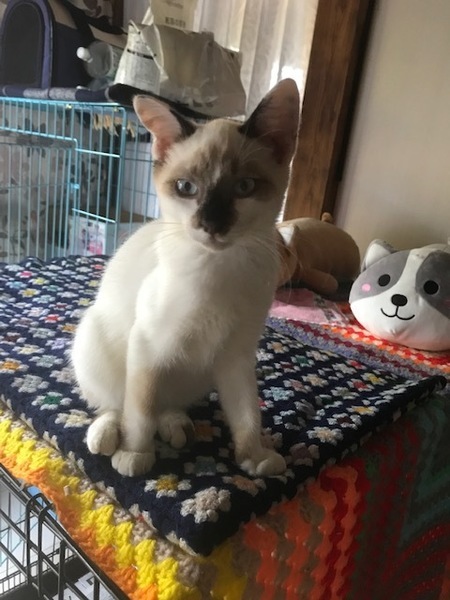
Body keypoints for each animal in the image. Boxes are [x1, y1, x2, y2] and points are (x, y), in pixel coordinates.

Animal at [71, 79, 299, 478]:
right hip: (95, 341)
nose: (211, 225)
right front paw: (135, 455)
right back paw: (108, 436)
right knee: (116, 403)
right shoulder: (147, 348)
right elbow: (139, 410)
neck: (220, 269)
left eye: (245, 187)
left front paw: (254, 457)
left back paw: (177, 427)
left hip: (199, 374)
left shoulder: (237, 356)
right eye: (186, 188)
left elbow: (247, 415)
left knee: (166, 406)